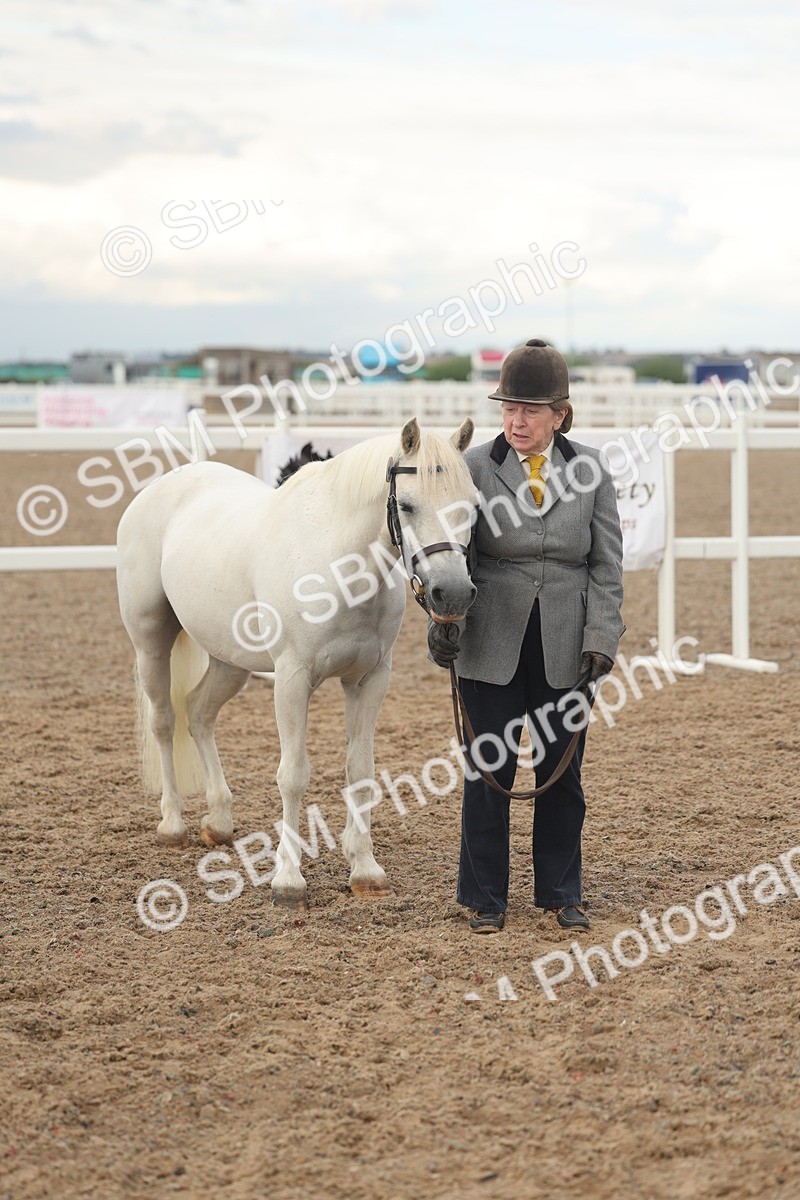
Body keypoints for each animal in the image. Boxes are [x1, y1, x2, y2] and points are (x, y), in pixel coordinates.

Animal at [116, 418, 477, 909]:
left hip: (229, 662)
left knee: (200, 714)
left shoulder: (369, 680)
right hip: (151, 642)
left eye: (472, 506)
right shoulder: (291, 679)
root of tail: (160, 487)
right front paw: (288, 881)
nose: (452, 595)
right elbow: (293, 776)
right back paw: (173, 824)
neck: (340, 564)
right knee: (164, 721)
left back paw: (219, 821)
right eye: (407, 504)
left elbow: (360, 771)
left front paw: (365, 869)